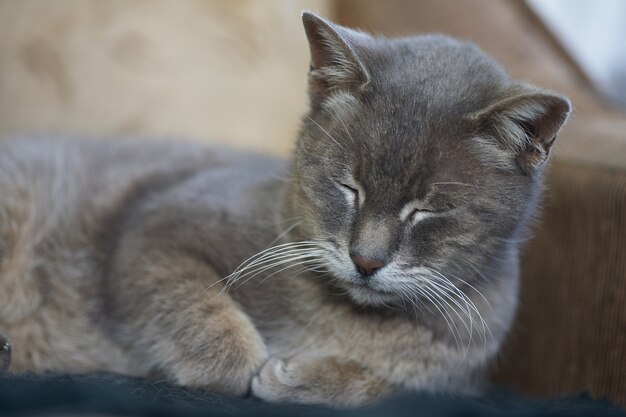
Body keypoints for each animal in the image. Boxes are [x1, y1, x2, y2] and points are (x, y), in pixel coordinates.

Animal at [0, 12, 564, 406]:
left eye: (427, 211)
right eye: (348, 187)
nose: (365, 260)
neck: (349, 315)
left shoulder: (460, 375)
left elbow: (394, 387)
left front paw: (304, 376)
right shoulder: (154, 227)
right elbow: (215, 331)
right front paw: (256, 365)